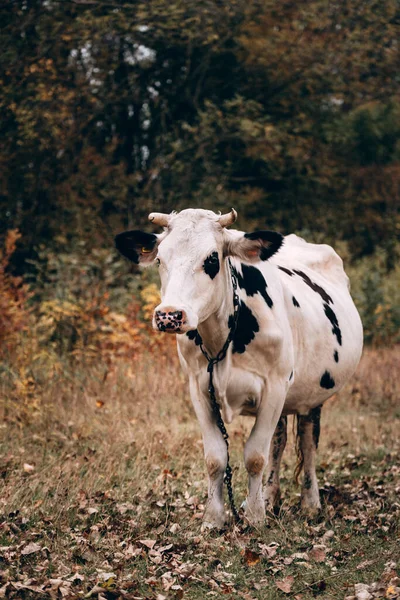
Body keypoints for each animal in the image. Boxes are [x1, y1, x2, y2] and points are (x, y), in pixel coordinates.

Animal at [115, 209, 362, 528]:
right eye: (160, 259)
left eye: (211, 259)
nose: (169, 315)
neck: (221, 338)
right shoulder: (198, 388)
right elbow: (215, 458)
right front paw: (214, 518)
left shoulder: (275, 386)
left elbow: (256, 456)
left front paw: (255, 518)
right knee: (279, 440)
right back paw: (270, 497)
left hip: (315, 391)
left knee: (307, 443)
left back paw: (310, 503)